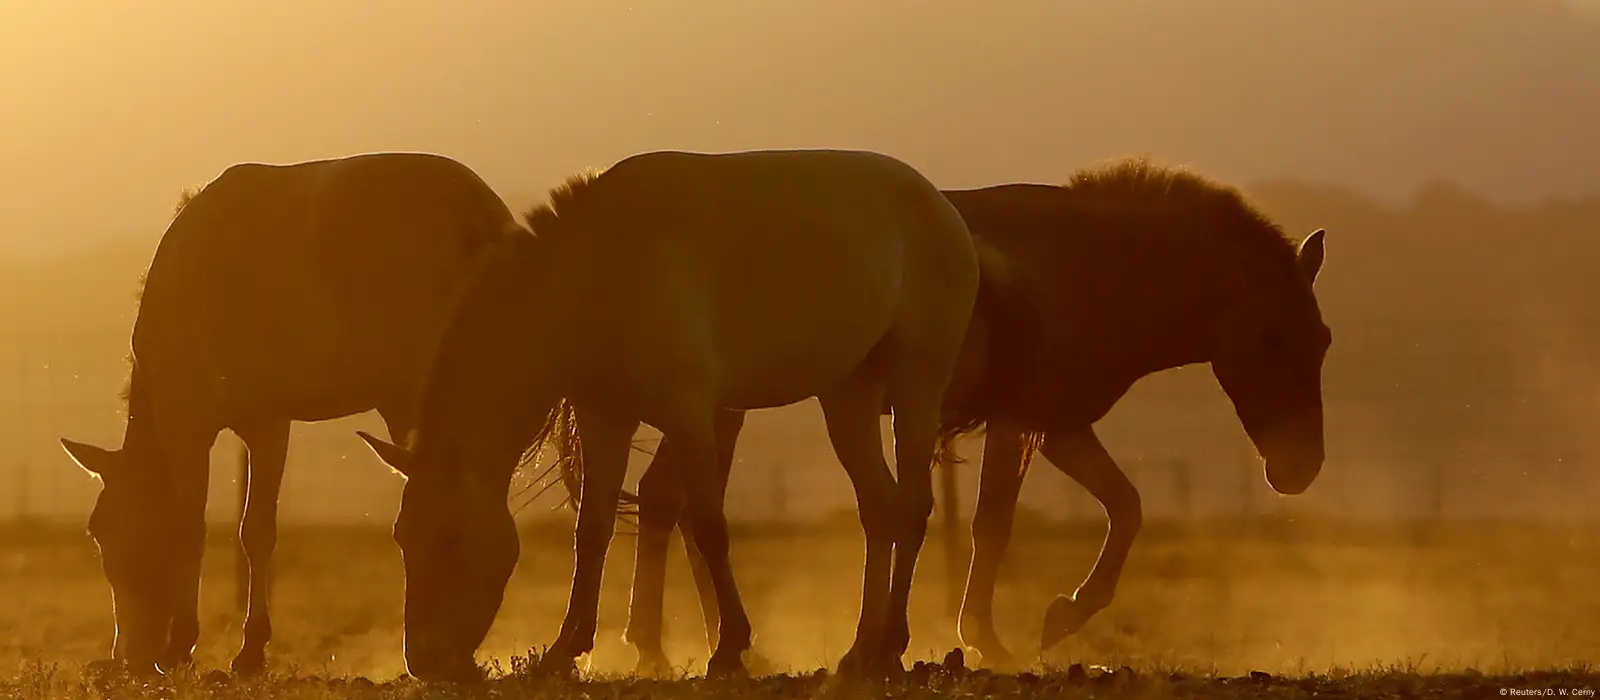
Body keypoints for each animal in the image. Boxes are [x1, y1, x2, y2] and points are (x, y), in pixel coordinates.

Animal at [53, 150, 518, 674]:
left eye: (102, 534)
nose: (127, 653)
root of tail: (478, 217)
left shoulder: (189, 422)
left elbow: (193, 527)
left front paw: (181, 645)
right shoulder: (267, 423)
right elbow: (257, 530)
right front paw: (251, 649)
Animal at [355, 147, 1017, 677]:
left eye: (449, 540)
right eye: (401, 536)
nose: (425, 661)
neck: (596, 273)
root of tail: (943, 208)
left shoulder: (691, 412)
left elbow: (708, 526)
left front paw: (730, 649)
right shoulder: (606, 417)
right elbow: (592, 529)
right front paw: (564, 650)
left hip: (915, 385)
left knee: (912, 507)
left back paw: (891, 644)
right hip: (847, 396)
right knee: (879, 510)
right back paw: (861, 650)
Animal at [604, 157, 1331, 671]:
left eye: (1322, 340)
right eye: (1273, 339)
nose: (1299, 471)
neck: (1081, 265)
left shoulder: (1060, 423)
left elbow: (1126, 507)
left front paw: (1063, 614)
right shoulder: (1024, 421)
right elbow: (995, 524)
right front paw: (992, 634)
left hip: (719, 409)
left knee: (666, 500)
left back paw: (675, 646)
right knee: (674, 503)